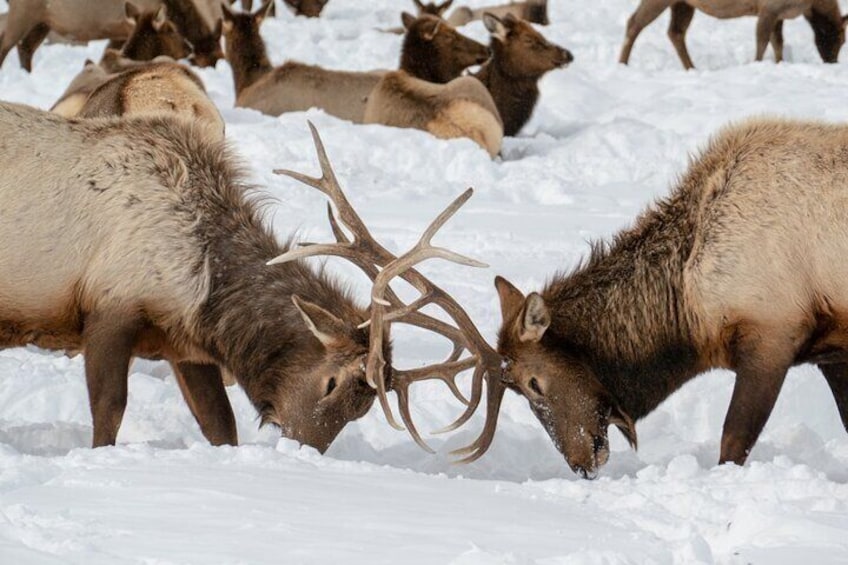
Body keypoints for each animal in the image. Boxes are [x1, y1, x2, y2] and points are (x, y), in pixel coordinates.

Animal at [616, 0, 848, 69]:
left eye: (843, 40)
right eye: (837, 38)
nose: (833, 61)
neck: (810, 6)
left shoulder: (779, 14)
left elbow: (778, 43)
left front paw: (779, 63)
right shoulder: (769, 9)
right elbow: (762, 42)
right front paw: (758, 63)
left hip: (683, 3)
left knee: (675, 32)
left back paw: (691, 67)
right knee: (634, 22)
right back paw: (622, 63)